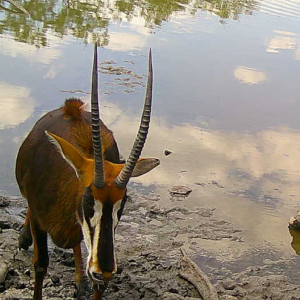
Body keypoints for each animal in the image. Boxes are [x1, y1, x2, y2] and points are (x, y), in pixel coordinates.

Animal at [15, 45, 159, 300]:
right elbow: (40, 265)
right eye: (88, 200)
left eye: (123, 204)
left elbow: (98, 284)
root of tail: (70, 108)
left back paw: (80, 279)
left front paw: (88, 280)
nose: (105, 269)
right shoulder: (40, 222)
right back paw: (24, 238)